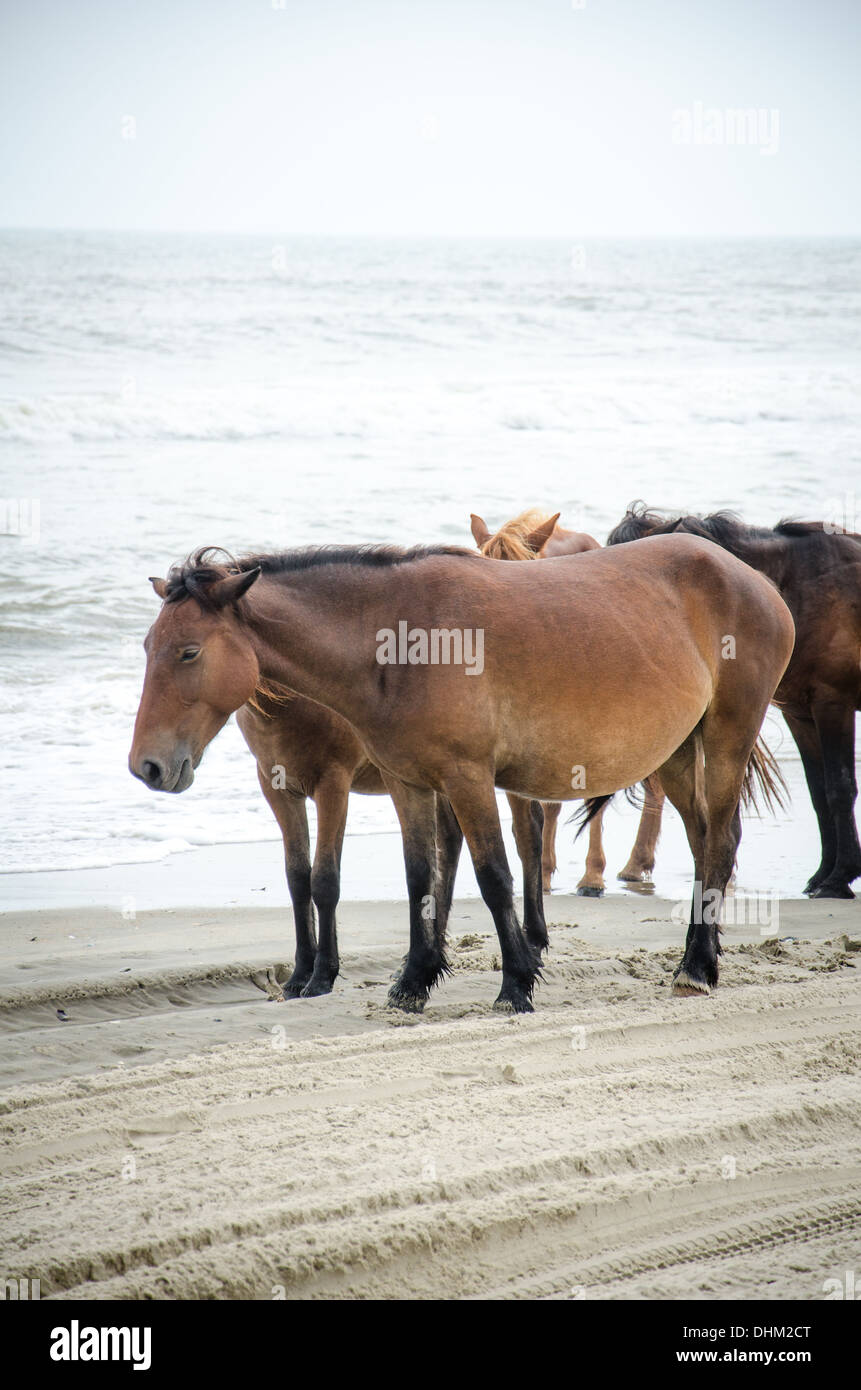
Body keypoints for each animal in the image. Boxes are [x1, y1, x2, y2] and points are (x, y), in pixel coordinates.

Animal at [608, 504, 861, 899]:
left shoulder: (834, 704)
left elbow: (840, 786)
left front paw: (839, 878)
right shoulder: (801, 715)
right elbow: (819, 792)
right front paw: (824, 874)